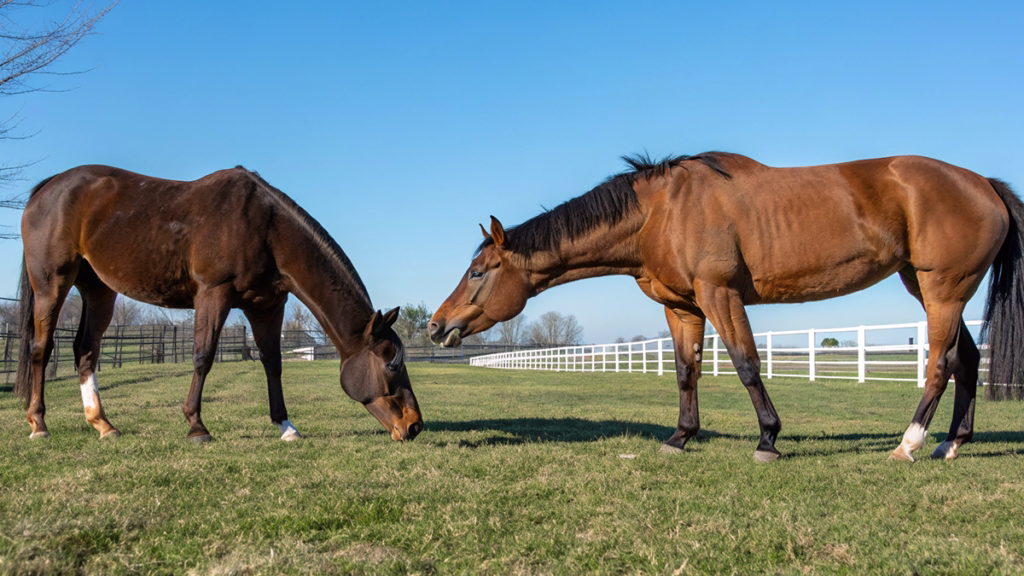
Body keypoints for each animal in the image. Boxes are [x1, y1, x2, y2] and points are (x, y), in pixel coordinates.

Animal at [15, 165, 423, 443]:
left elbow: (273, 364)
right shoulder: (214, 294)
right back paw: (39, 424)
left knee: (85, 350)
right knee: (41, 349)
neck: (265, 227)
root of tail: (48, 187)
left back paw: (103, 424)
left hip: (99, 289)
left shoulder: (267, 307)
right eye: (391, 363)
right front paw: (196, 426)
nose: (414, 425)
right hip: (52, 283)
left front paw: (286, 426)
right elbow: (203, 356)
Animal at [428, 152, 1024, 462]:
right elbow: (686, 371)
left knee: (940, 363)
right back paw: (952, 444)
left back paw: (909, 444)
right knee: (967, 361)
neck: (661, 212)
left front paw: (768, 440)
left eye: (478, 272)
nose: (436, 326)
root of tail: (983, 184)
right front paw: (679, 437)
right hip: (926, 286)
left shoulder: (720, 294)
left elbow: (745, 364)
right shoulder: (683, 307)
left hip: (942, 289)